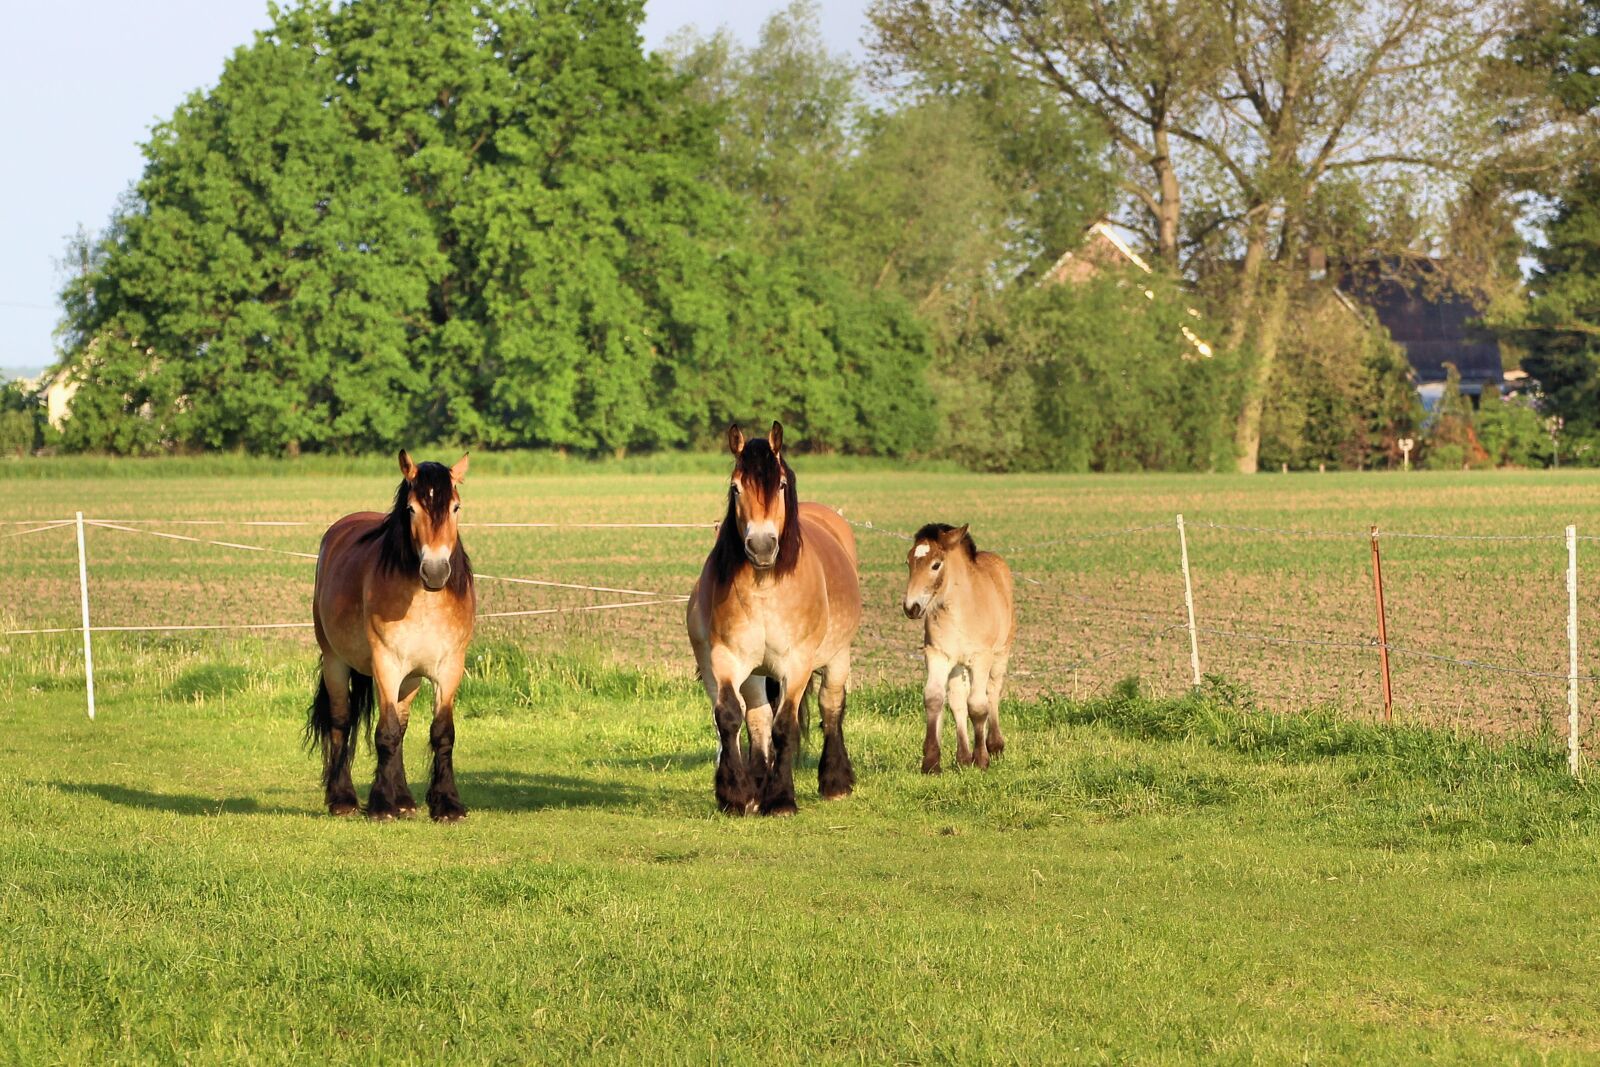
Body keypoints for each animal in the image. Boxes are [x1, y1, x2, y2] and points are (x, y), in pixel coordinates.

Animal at [305, 450, 475, 821]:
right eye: (411, 509)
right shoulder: (386, 665)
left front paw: (447, 804)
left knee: (402, 724)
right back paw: (344, 799)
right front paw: (382, 805)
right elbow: (385, 733)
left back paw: (405, 800)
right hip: (336, 662)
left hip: (409, 679)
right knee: (341, 721)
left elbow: (440, 733)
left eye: (456, 507)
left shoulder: (449, 669)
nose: (435, 571)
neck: (424, 602)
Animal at [686, 422, 862, 815]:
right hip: (754, 673)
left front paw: (781, 799)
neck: (766, 587)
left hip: (836, 658)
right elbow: (730, 716)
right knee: (757, 719)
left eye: (780, 484)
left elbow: (786, 727)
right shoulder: (728, 659)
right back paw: (756, 786)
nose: (762, 546)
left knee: (831, 706)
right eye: (736, 487)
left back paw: (835, 782)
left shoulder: (796, 665)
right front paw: (736, 794)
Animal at [902, 523, 1015, 773]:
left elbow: (978, 705)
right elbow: (934, 698)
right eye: (908, 561)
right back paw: (963, 757)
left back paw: (994, 745)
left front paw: (982, 759)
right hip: (958, 666)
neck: (959, 611)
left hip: (1000, 653)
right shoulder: (937, 655)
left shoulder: (981, 658)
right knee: (957, 701)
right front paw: (931, 762)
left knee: (993, 691)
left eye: (936, 564)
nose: (911, 607)